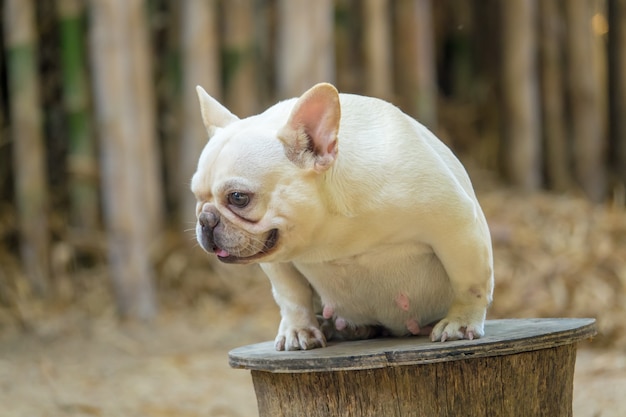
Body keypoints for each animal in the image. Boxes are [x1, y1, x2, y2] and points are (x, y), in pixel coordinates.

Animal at [190, 83, 492, 350]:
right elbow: (291, 296)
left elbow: (470, 284)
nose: (205, 219)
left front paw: (460, 322)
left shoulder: (456, 225)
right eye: (196, 197)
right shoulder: (277, 261)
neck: (328, 225)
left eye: (238, 198)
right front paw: (298, 330)